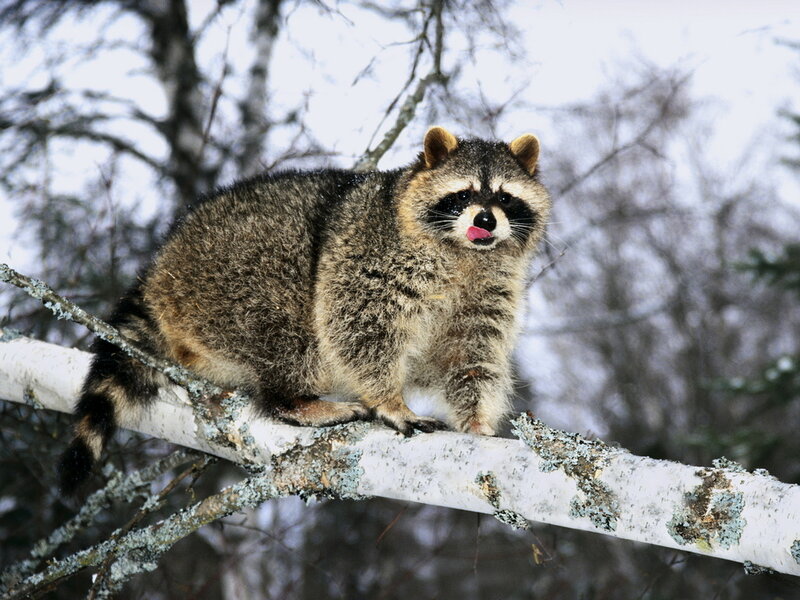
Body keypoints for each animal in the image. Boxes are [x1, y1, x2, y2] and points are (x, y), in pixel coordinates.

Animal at [58, 127, 551, 493]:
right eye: (463, 194)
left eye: (505, 198)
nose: (485, 220)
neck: (465, 255)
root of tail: (160, 268)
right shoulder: (369, 255)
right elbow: (357, 325)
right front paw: (389, 399)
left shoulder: (489, 290)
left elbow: (471, 355)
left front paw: (477, 419)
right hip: (228, 274)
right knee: (287, 325)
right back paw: (293, 399)